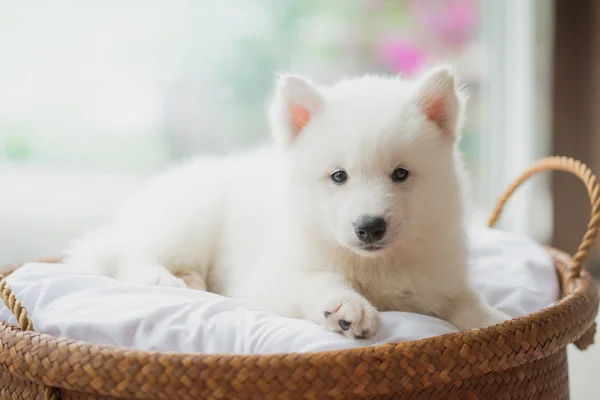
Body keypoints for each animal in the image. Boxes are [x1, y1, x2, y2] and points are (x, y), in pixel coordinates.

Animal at [64, 66, 506, 340]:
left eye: (401, 174)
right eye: (339, 176)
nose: (369, 226)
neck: (376, 266)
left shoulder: (441, 276)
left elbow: (466, 301)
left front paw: (494, 319)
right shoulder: (271, 276)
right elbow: (320, 280)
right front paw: (346, 306)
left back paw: (191, 279)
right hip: (189, 219)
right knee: (132, 256)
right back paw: (166, 279)